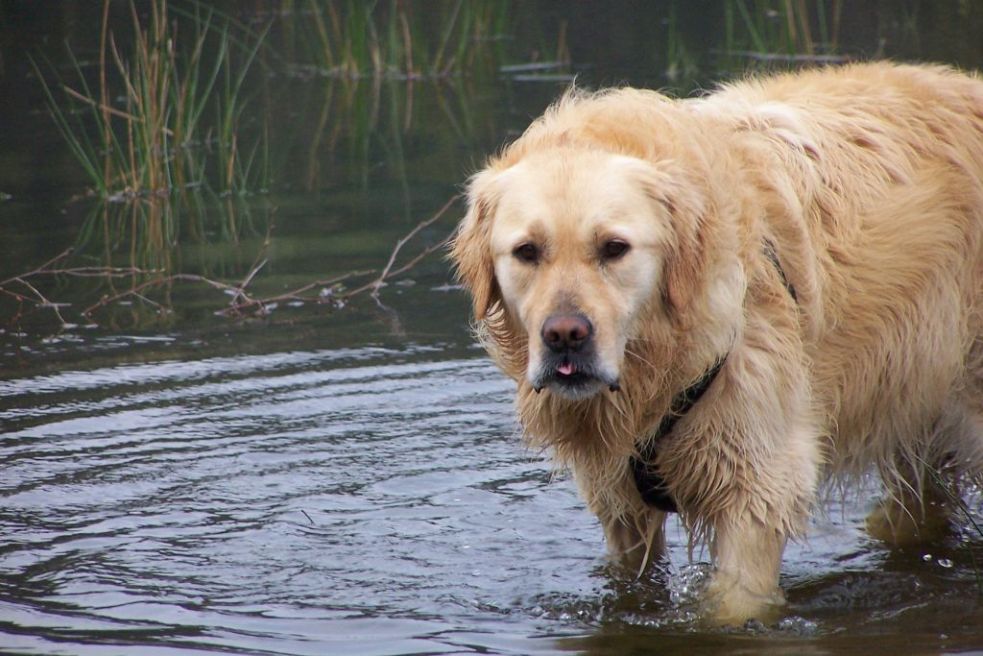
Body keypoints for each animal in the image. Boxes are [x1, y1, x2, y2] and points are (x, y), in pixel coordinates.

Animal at [450, 64, 983, 628]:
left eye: (614, 248)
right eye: (527, 251)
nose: (565, 336)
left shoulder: (758, 487)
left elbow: (732, 605)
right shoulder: (619, 502)